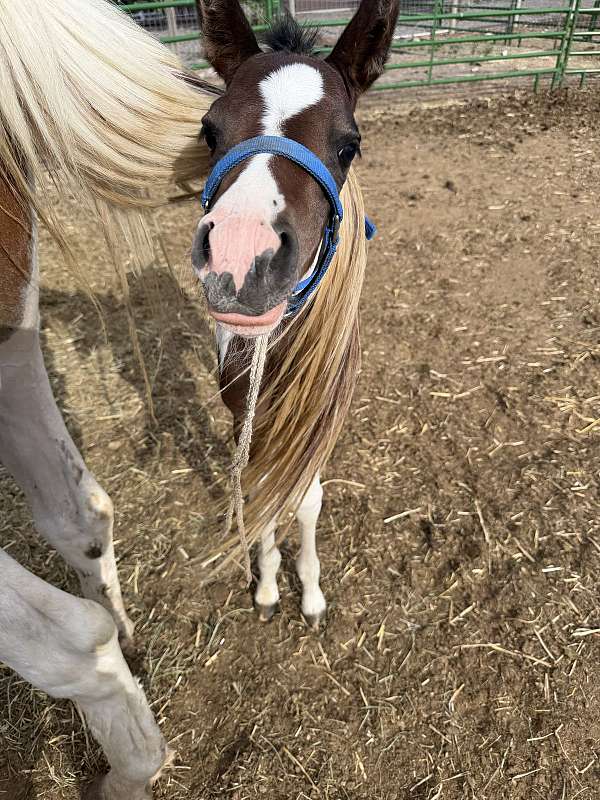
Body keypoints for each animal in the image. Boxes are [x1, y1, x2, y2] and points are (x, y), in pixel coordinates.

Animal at [0, 0, 398, 796]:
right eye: (209, 129)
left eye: (350, 143)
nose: (242, 259)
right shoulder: (239, 392)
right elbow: (257, 483)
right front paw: (268, 587)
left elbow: (304, 496)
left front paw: (309, 596)